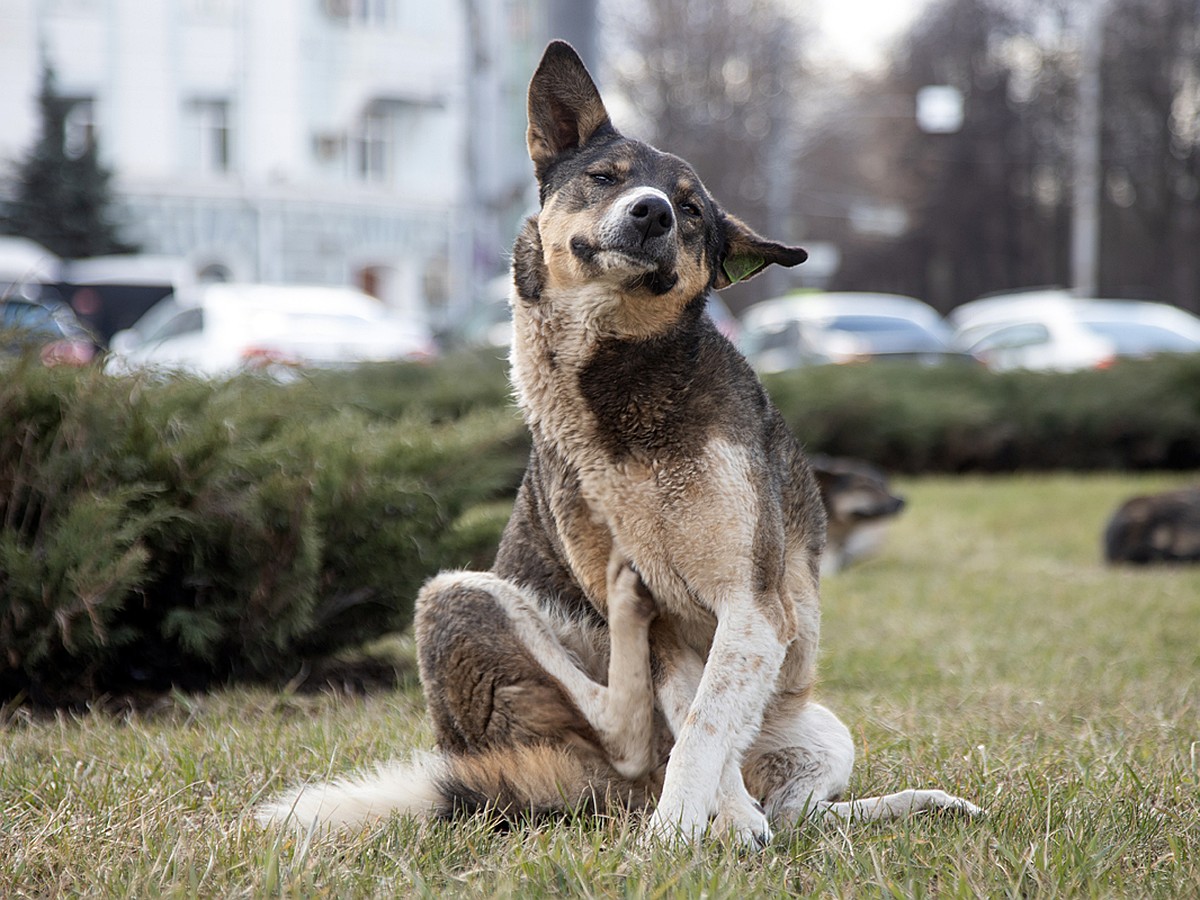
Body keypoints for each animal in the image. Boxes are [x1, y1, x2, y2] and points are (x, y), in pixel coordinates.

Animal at [258, 38, 979, 849]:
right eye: (606, 177)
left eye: (691, 208)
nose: (652, 211)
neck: (620, 401)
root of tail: (599, 795)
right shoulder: (690, 629)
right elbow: (692, 720)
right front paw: (711, 827)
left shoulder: (755, 609)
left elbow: (704, 727)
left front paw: (686, 834)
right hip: (460, 592)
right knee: (631, 735)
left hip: (819, 726)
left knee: (790, 806)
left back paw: (892, 806)